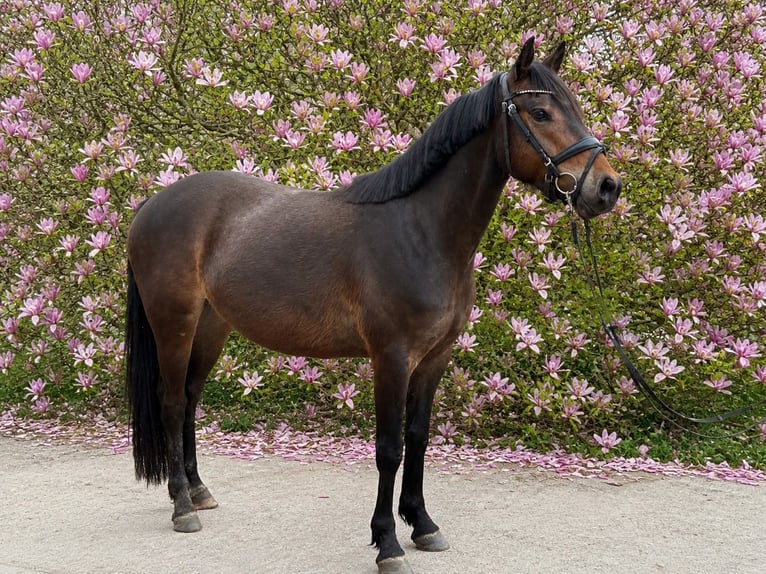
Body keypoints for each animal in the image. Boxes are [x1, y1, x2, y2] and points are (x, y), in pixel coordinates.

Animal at [125, 38, 622, 574]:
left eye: (575, 108)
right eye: (541, 112)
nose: (607, 187)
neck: (422, 230)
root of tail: (152, 204)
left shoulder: (434, 358)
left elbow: (419, 437)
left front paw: (422, 524)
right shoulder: (392, 358)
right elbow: (389, 449)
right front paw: (387, 543)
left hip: (211, 326)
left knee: (191, 398)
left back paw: (199, 491)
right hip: (174, 323)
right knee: (172, 402)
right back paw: (181, 506)